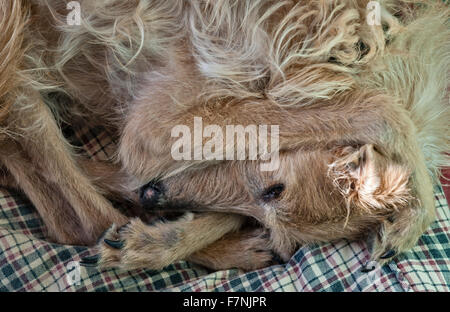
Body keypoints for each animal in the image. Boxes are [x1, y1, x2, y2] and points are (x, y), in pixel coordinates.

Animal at [0, 0, 448, 270]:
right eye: (274, 190)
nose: (152, 196)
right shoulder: (152, 128)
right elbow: (381, 111)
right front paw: (418, 206)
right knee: (78, 219)